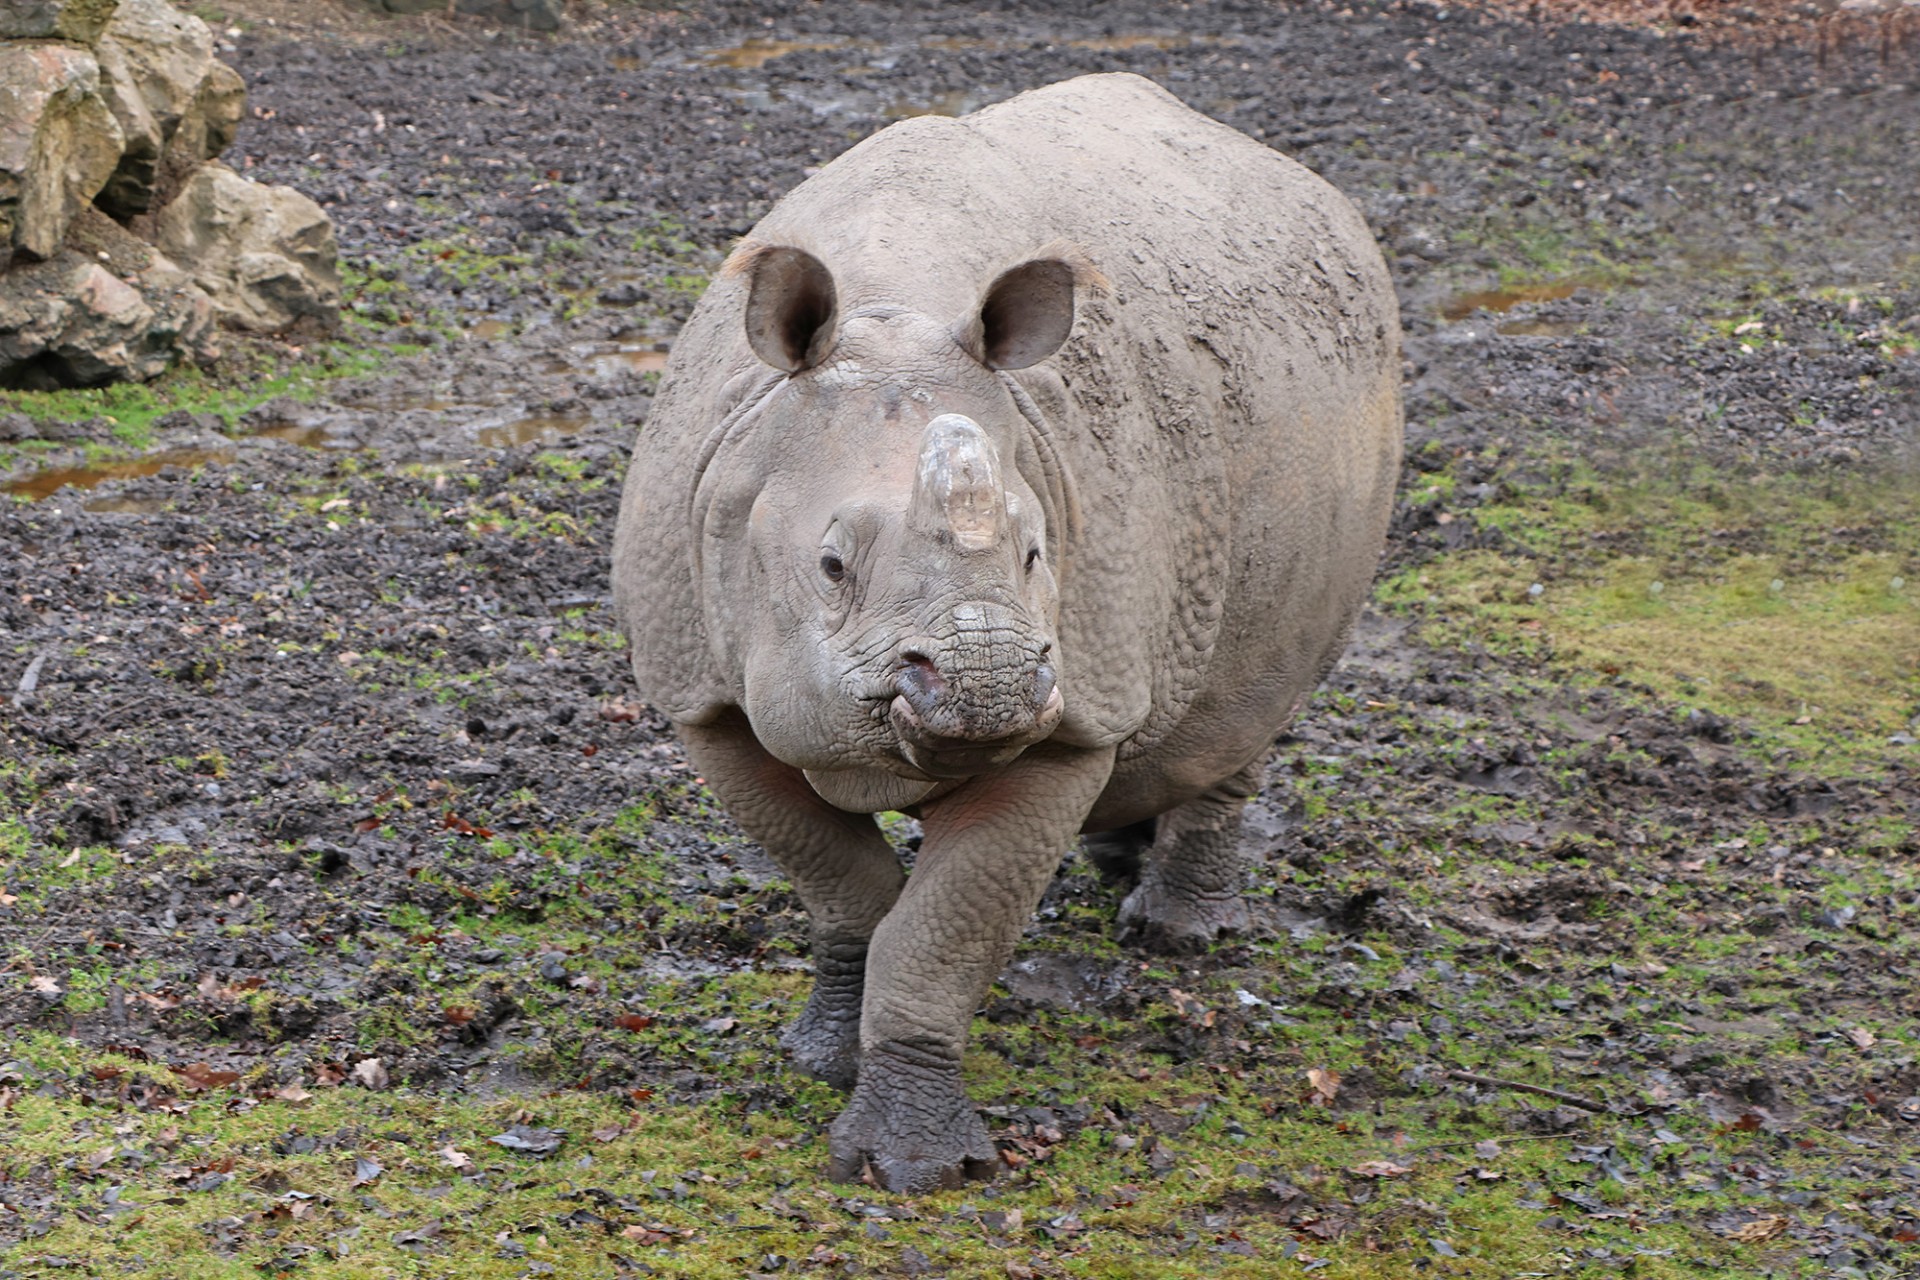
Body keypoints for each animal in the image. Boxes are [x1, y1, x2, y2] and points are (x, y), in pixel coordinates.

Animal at [612, 72, 1402, 1192]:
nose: (987, 685)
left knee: (1257, 698)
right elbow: (845, 888)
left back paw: (1175, 936)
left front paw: (911, 1167)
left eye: (1036, 556)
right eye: (831, 567)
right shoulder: (701, 690)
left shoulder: (1069, 714)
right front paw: (819, 1059)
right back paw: (1120, 854)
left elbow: (941, 930)